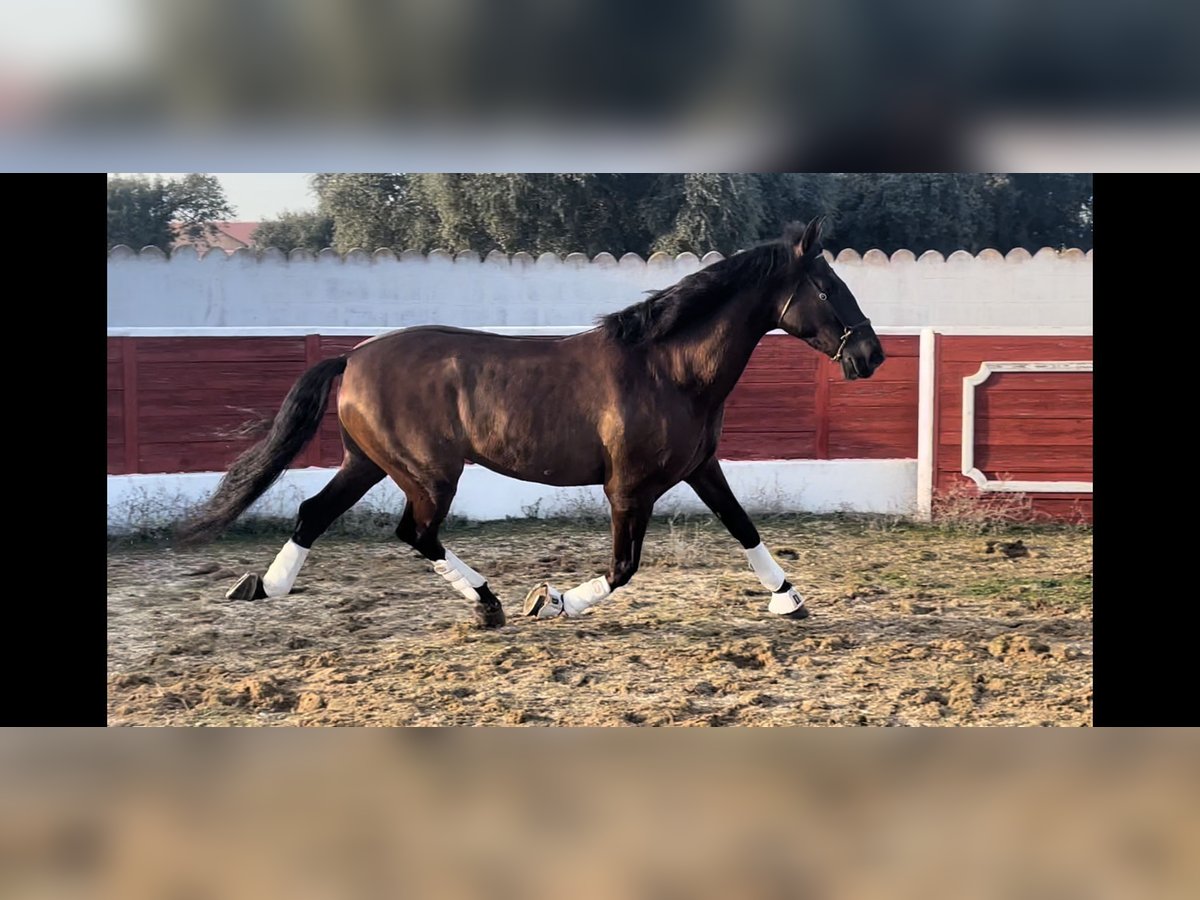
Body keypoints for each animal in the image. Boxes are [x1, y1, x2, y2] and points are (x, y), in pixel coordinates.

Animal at [180, 217, 892, 628]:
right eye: (828, 285)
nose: (871, 355)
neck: (669, 368)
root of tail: (352, 356)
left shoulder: (700, 469)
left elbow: (744, 527)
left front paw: (790, 599)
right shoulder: (628, 488)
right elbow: (624, 567)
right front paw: (550, 600)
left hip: (368, 462)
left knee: (314, 512)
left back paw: (264, 588)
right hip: (428, 474)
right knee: (414, 532)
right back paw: (490, 602)